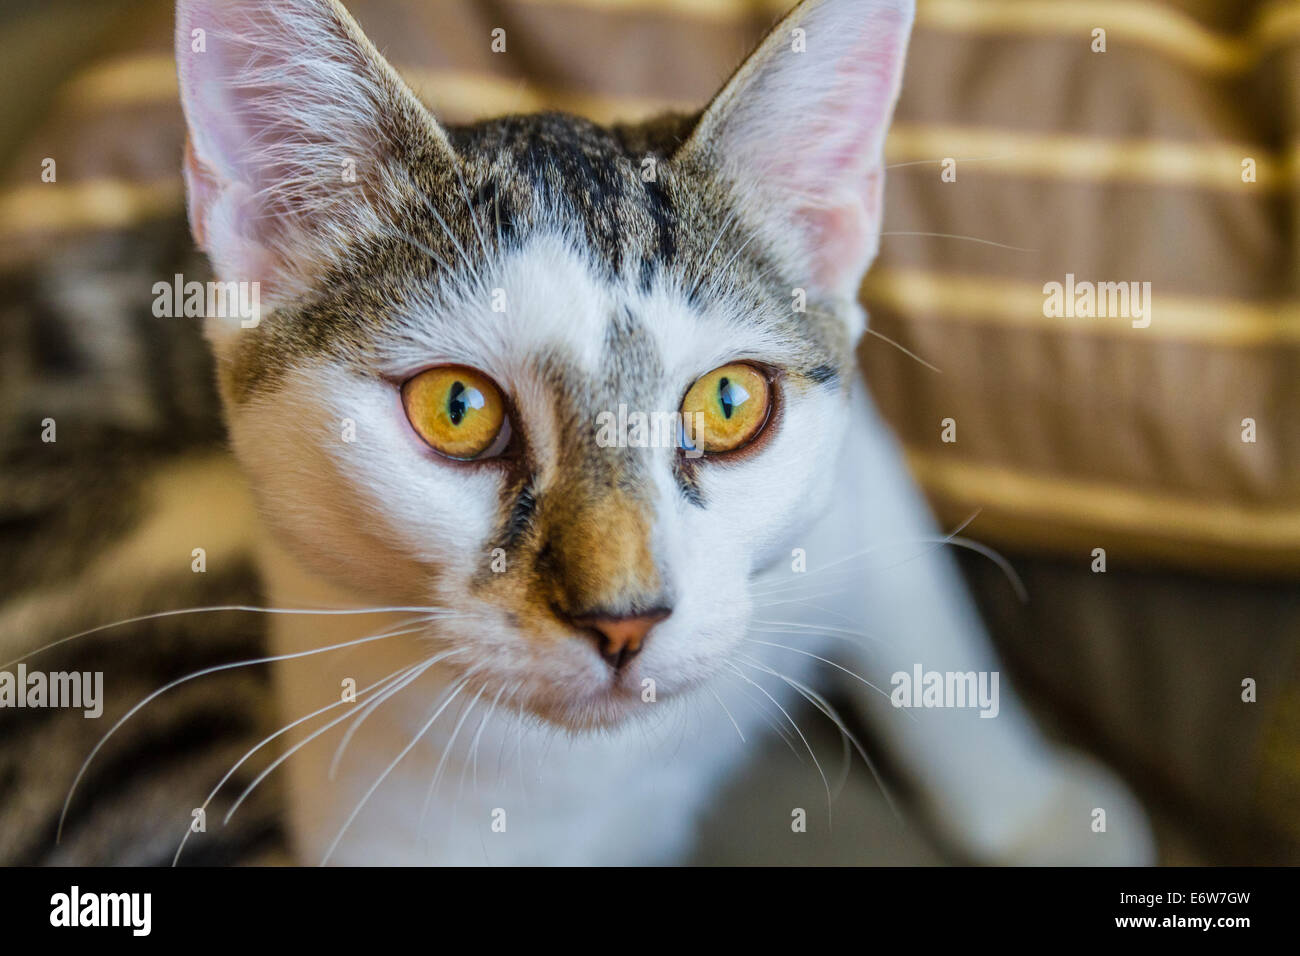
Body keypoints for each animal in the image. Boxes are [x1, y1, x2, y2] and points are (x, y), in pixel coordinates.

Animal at [0, 0, 1154, 868]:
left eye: (729, 403)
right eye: (456, 408)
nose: (626, 619)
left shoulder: (853, 468)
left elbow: (916, 604)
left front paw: (1035, 812)